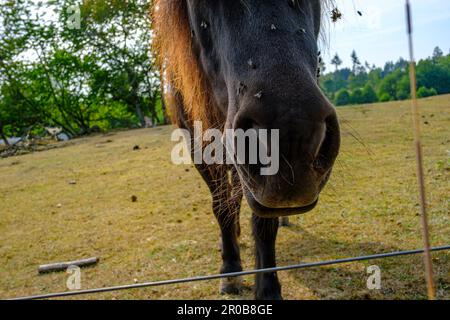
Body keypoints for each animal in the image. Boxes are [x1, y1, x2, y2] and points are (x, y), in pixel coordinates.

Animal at [153, 0, 340, 300]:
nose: (293, 138)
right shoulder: (198, 144)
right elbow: (221, 206)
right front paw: (230, 269)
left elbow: (263, 221)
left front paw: (268, 289)